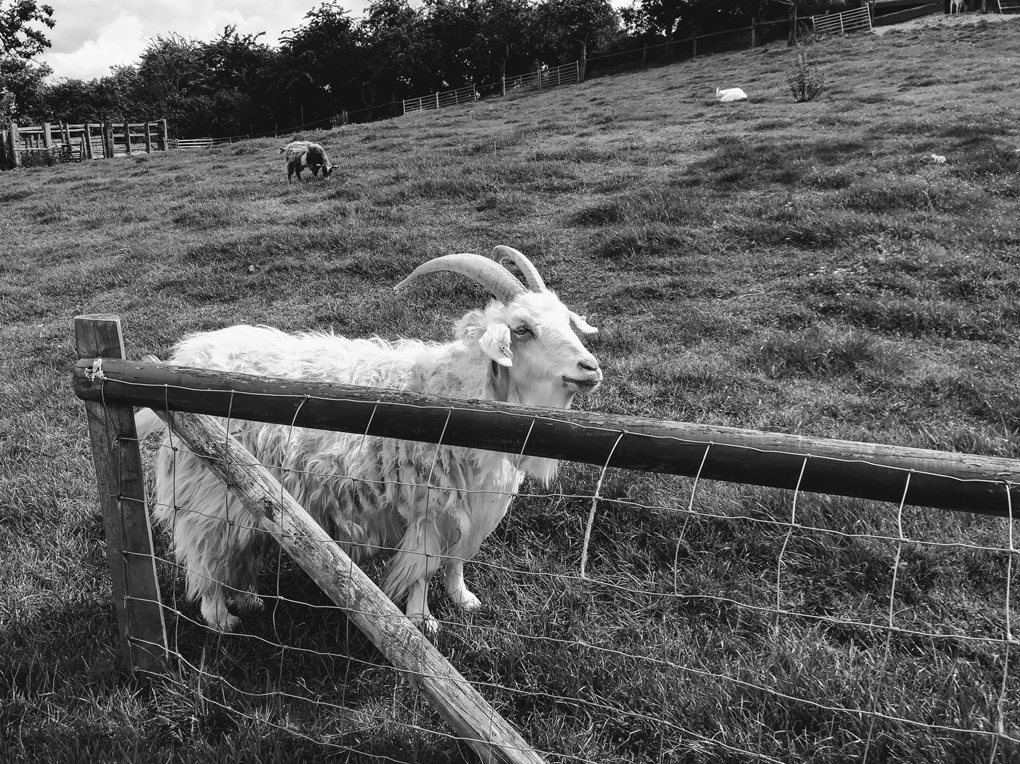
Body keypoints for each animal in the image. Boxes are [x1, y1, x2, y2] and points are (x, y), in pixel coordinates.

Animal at [134, 247, 595, 636]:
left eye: (567, 322)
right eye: (523, 329)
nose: (590, 368)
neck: (455, 394)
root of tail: (183, 359)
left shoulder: (475, 504)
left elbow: (457, 559)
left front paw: (463, 599)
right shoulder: (429, 503)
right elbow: (424, 566)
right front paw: (422, 620)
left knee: (240, 551)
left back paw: (249, 600)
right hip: (212, 491)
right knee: (206, 553)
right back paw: (221, 618)